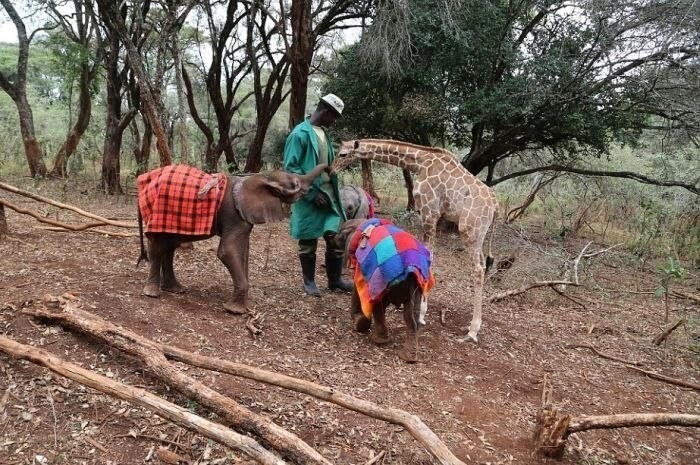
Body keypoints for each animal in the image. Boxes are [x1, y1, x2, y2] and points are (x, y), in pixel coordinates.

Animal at [332, 138, 498, 340]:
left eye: (343, 154)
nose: (332, 170)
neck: (420, 163)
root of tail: (496, 206)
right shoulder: (431, 215)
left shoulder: (429, 213)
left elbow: (429, 256)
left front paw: (421, 314)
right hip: (479, 235)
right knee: (483, 265)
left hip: (469, 231)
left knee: (478, 269)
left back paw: (473, 330)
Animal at [332, 218, 434, 362]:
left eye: (340, 234)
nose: (331, 236)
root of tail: (410, 269)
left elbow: (357, 285)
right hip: (416, 285)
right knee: (411, 314)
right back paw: (408, 357)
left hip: (382, 278)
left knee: (378, 303)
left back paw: (376, 339)